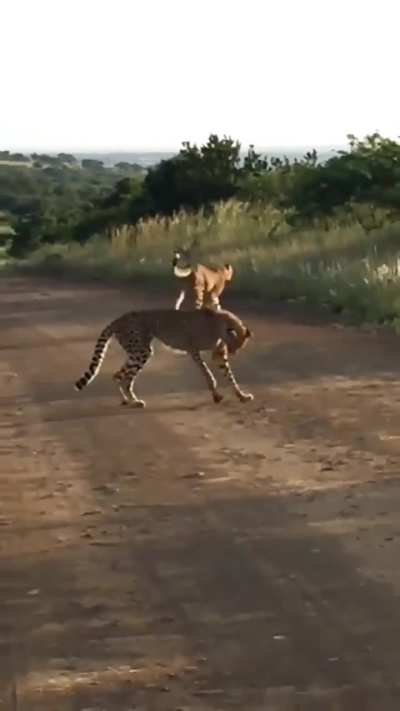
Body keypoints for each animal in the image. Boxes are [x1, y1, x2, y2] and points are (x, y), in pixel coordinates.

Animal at [75, 307, 253, 408]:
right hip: (141, 351)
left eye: (240, 346)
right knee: (124, 378)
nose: (233, 353)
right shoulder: (193, 349)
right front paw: (216, 395)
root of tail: (120, 318)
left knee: (118, 375)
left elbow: (229, 376)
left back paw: (127, 400)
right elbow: (207, 373)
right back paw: (135, 401)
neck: (219, 324)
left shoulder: (218, 355)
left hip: (137, 351)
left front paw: (242, 396)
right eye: (234, 345)